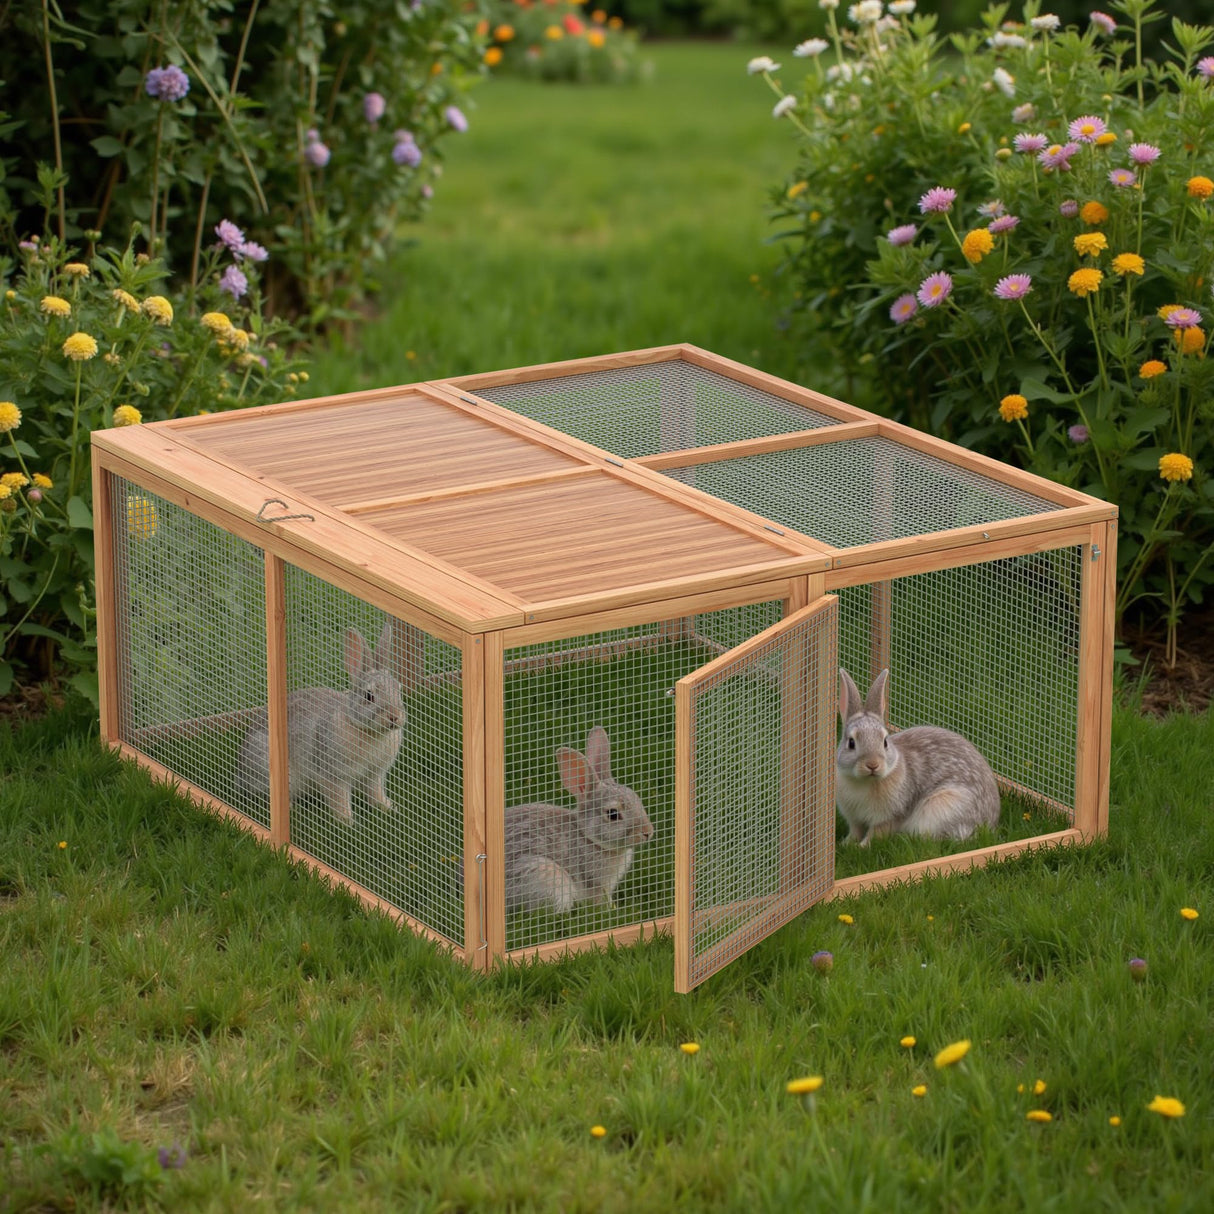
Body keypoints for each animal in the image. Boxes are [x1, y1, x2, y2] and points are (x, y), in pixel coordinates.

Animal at [235, 622, 404, 825]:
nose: (394, 717)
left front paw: (388, 807)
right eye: (369, 696)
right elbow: (339, 797)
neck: (368, 732)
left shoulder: (375, 773)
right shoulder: (334, 774)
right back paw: (290, 809)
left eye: (398, 690)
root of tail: (239, 775)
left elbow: (375, 791)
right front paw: (346, 821)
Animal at [505, 726, 654, 914]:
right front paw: (610, 910)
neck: (588, 837)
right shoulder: (594, 879)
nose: (647, 832)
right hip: (546, 876)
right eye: (613, 814)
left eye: (637, 798)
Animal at [836, 667, 1000, 846]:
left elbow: (875, 833)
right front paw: (845, 844)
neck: (864, 781)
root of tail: (992, 821)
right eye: (851, 743)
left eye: (885, 741)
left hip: (944, 807)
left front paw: (861, 847)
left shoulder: (890, 817)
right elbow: (855, 831)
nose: (873, 765)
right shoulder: (854, 819)